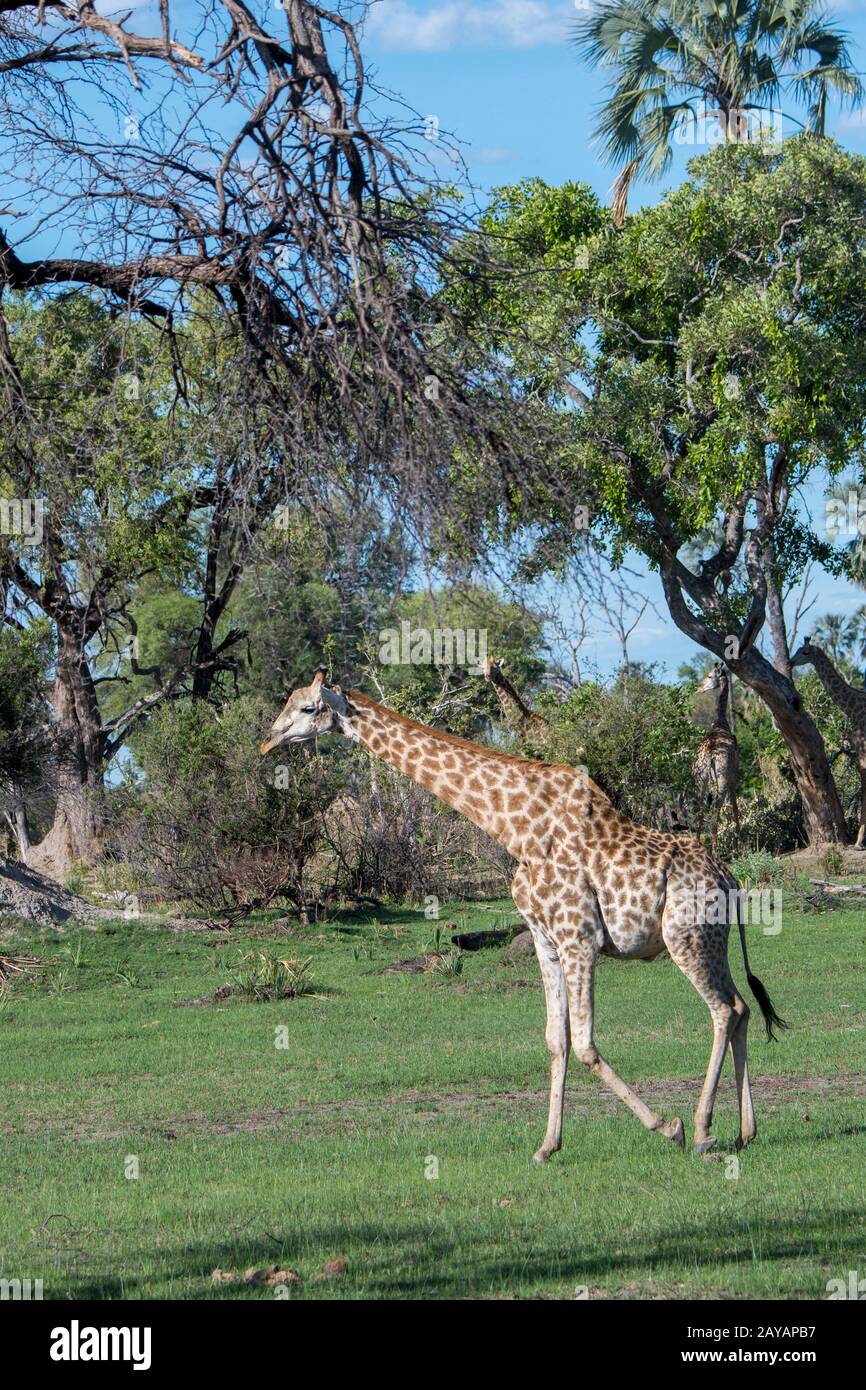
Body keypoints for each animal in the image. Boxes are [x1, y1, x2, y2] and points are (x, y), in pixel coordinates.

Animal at [262, 670, 786, 1160]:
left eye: (307, 708)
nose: (269, 740)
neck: (515, 830)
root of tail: (729, 877)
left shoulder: (580, 939)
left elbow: (585, 1042)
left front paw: (666, 1126)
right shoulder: (545, 940)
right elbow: (557, 1040)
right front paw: (547, 1146)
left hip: (686, 938)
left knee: (723, 1010)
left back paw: (700, 1130)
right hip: (710, 940)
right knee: (740, 1008)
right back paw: (745, 1132)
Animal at [791, 637, 866, 849]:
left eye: (805, 652)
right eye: (797, 650)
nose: (790, 662)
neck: (852, 708)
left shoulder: (862, 749)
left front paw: (859, 841)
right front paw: (859, 840)